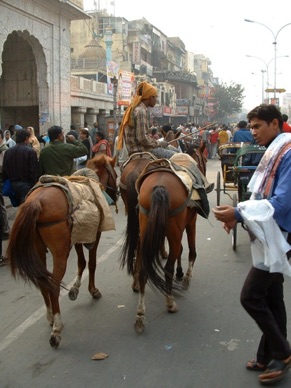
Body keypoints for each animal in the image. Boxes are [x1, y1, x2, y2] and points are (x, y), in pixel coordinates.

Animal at [8, 155, 117, 348]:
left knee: (42, 282)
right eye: (116, 174)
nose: (118, 192)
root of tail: (36, 202)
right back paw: (56, 329)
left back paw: (51, 317)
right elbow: (92, 263)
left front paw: (75, 289)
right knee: (53, 285)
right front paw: (92, 290)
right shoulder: (94, 235)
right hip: (59, 252)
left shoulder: (79, 235)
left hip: (38, 249)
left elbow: (81, 262)